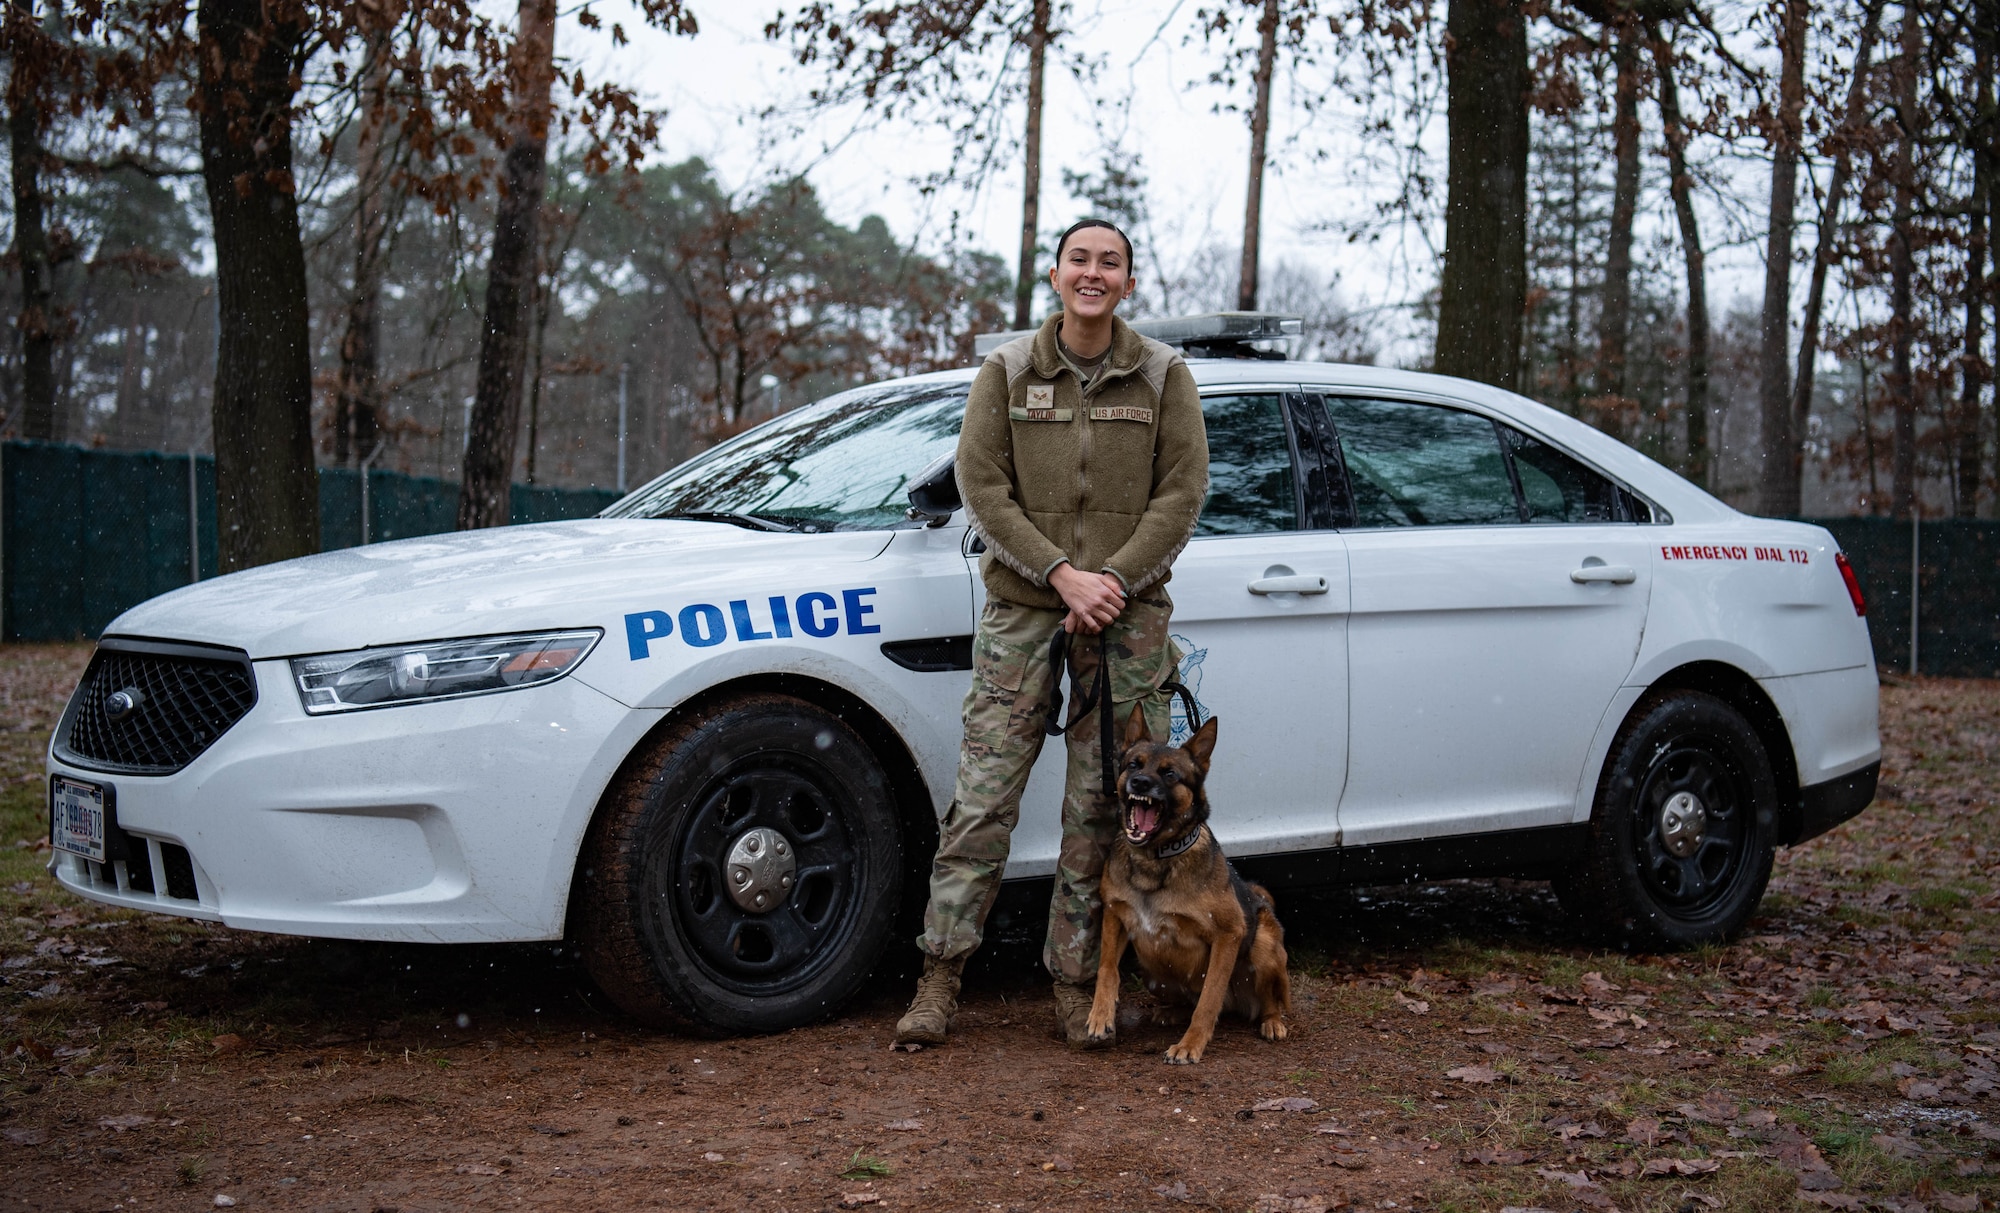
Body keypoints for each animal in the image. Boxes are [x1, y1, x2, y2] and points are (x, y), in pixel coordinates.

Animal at [1088, 708, 1288, 1056]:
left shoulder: (1229, 933)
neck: (1155, 859)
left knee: (1265, 1000)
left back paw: (1271, 1021)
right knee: (1183, 1000)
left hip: (1263, 944)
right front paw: (1100, 1016)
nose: (1140, 782)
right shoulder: (1114, 914)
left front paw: (1191, 1044)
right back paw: (1170, 1012)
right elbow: (1107, 968)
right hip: (1153, 970)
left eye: (1170, 774)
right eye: (1133, 765)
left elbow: (1209, 998)